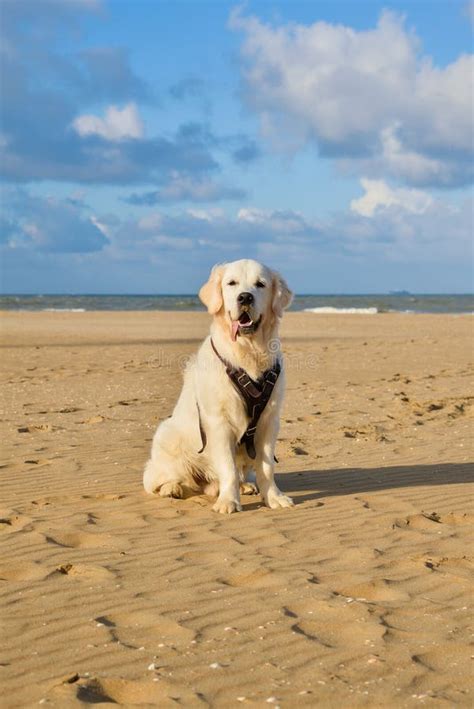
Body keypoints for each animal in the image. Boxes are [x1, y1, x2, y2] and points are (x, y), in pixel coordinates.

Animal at [143, 258, 294, 512]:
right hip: (167, 435)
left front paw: (274, 497)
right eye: (231, 283)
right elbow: (228, 467)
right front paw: (228, 502)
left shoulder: (268, 421)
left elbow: (266, 467)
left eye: (260, 284)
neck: (247, 352)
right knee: (157, 480)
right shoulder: (218, 422)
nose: (245, 297)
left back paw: (245, 486)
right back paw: (172, 489)